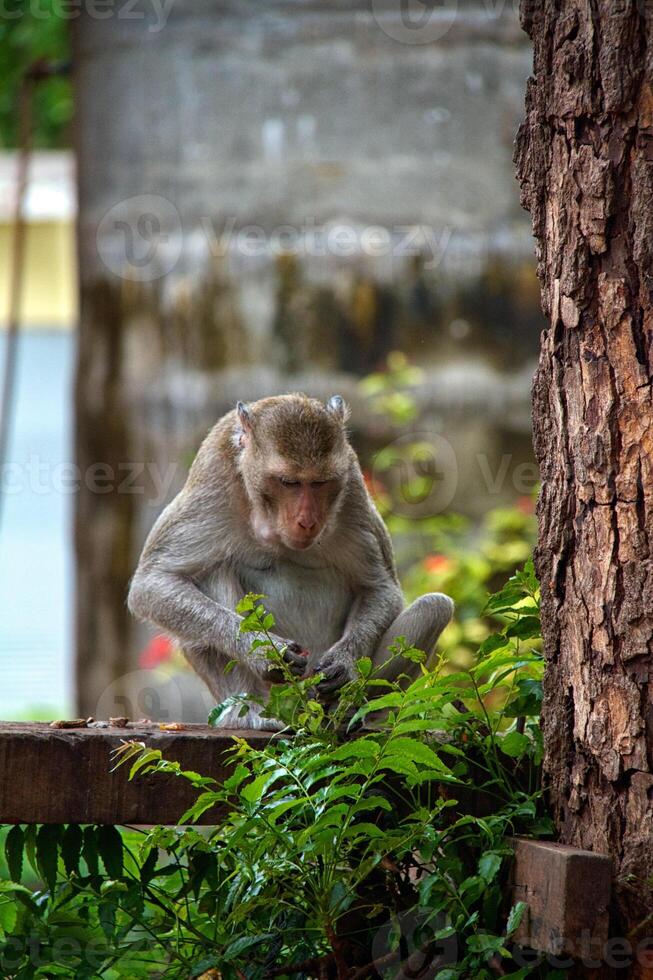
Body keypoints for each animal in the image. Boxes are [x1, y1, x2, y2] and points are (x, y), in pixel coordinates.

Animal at [129, 392, 454, 728]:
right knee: (212, 573)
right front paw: (262, 653)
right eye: (289, 482)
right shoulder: (213, 479)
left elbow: (379, 588)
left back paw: (350, 712)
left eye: (321, 483)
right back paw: (251, 712)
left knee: (435, 607)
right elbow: (154, 583)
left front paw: (344, 662)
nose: (307, 521)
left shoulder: (352, 488)